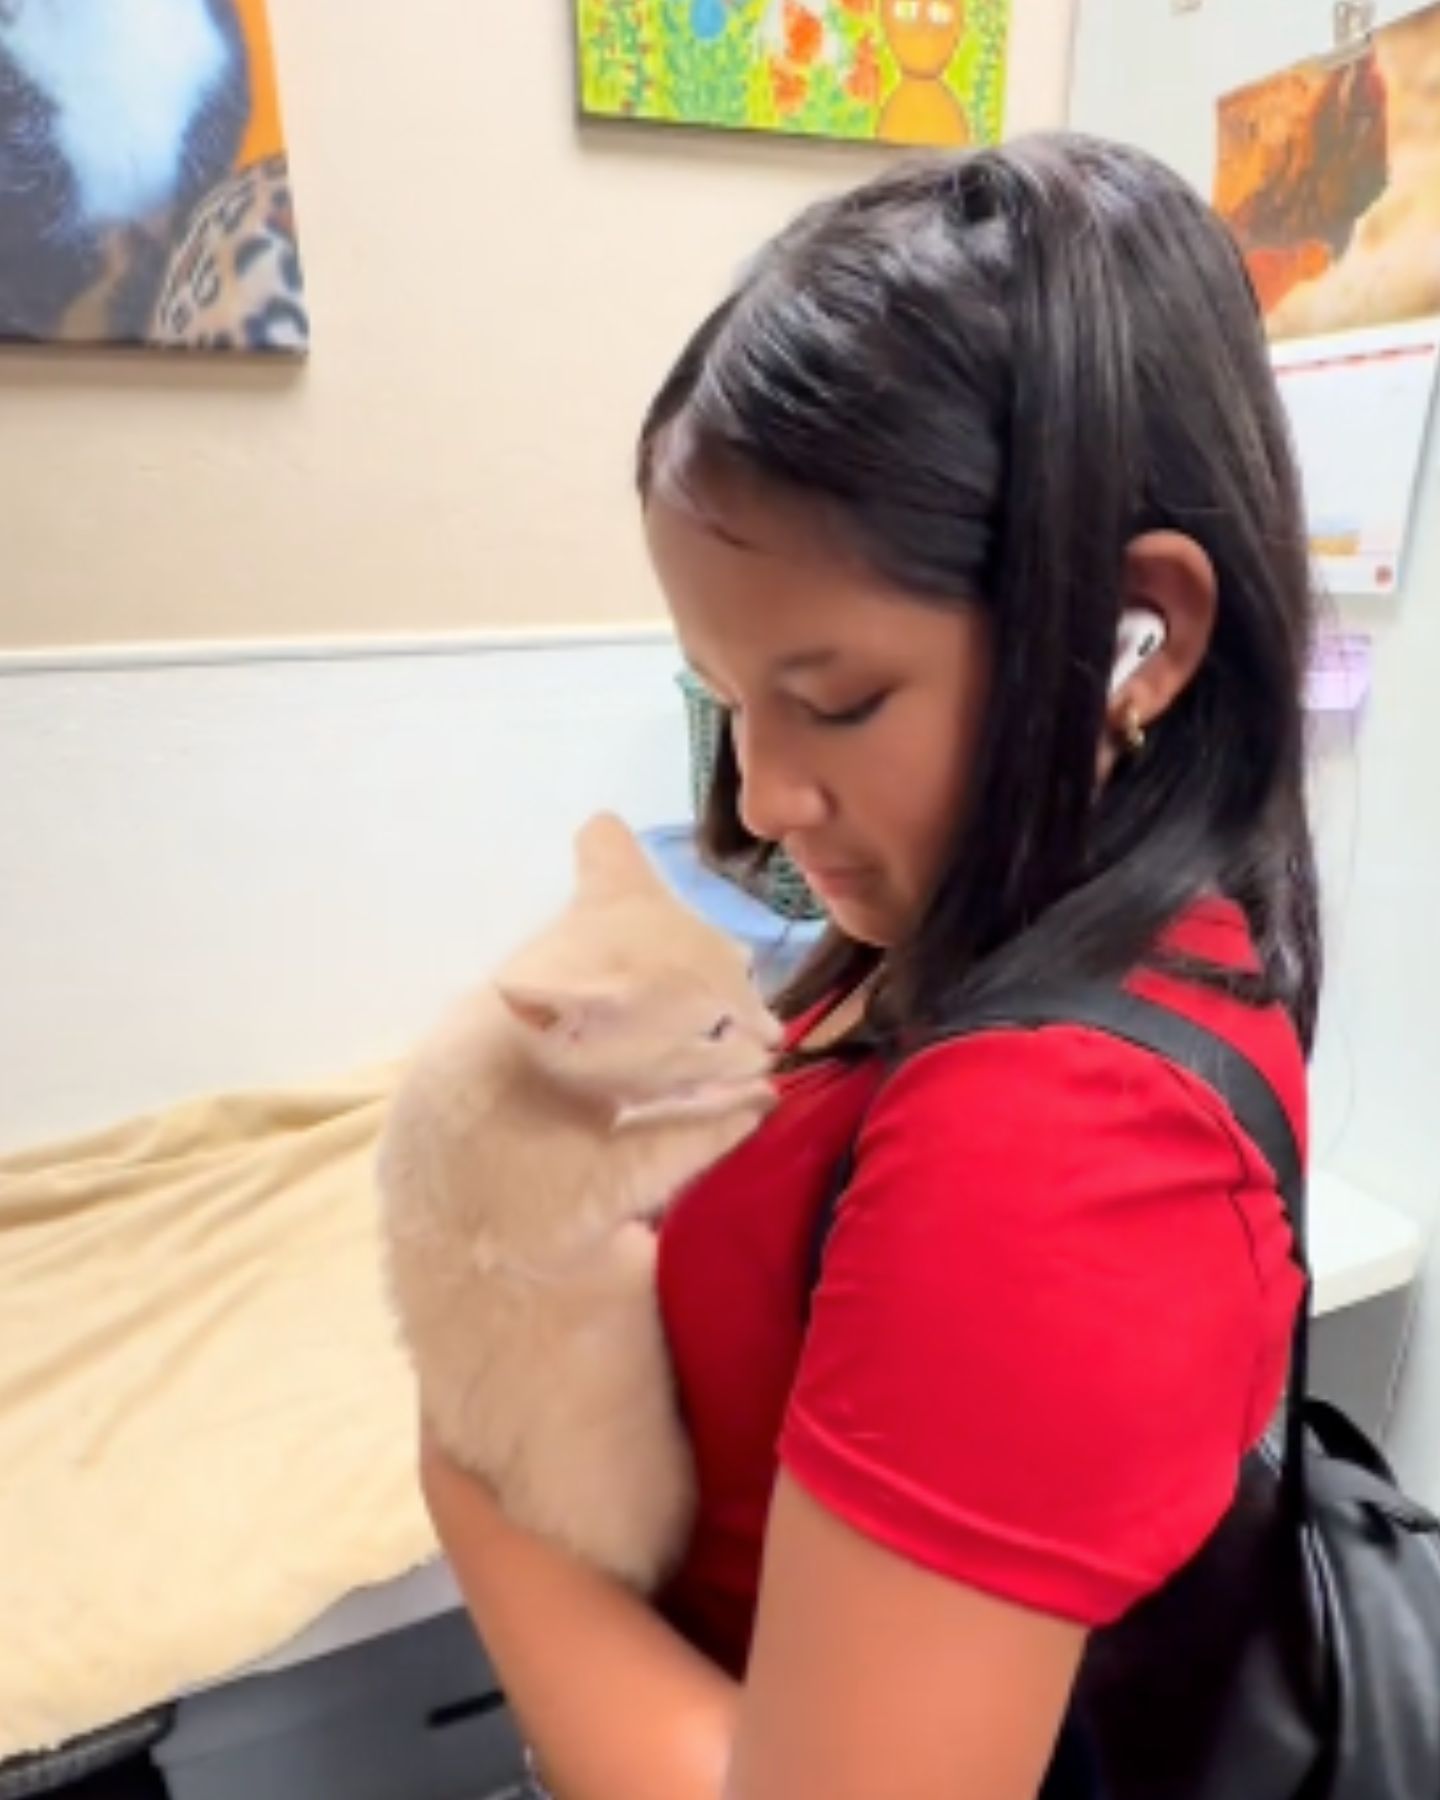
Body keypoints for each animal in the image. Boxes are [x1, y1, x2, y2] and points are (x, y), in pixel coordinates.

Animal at [374, 817, 777, 1591]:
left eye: (748, 974)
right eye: (714, 1029)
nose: (775, 1039)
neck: (507, 1045)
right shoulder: (564, 1184)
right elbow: (655, 1149)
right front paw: (742, 1104)